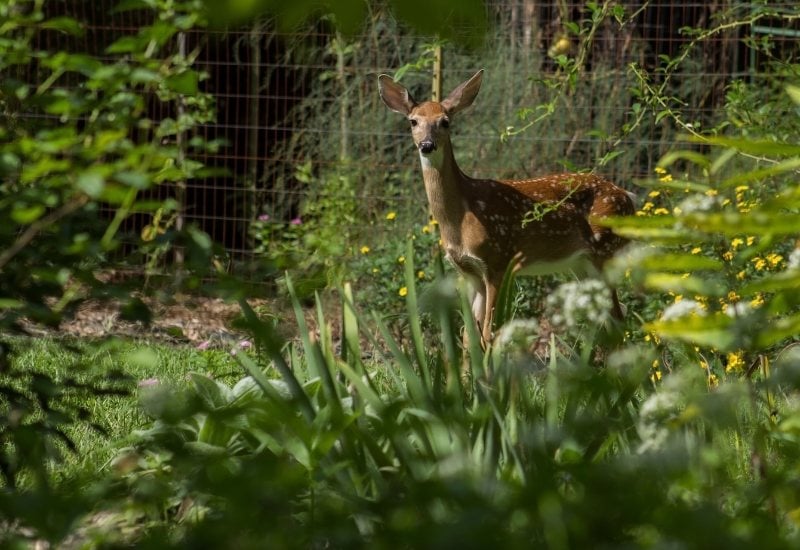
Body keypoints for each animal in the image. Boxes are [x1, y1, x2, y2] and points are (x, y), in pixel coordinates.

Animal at [378, 69, 635, 345]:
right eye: (413, 122)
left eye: (445, 122)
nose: (426, 145)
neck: (461, 216)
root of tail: (629, 198)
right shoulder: (468, 272)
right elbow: (468, 335)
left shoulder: (497, 261)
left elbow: (489, 332)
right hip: (580, 264)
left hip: (605, 253)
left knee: (619, 321)